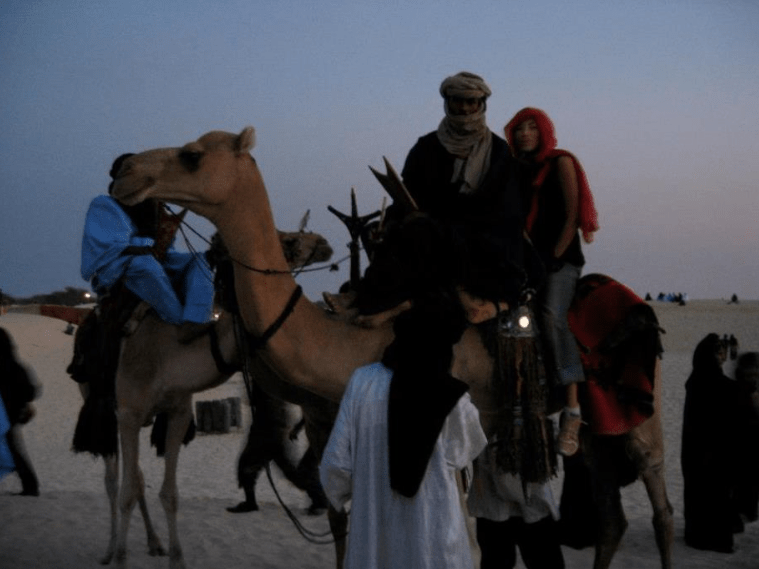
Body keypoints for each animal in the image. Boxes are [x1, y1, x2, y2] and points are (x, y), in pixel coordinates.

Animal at [110, 126, 672, 569]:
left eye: (191, 154)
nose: (122, 169)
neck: (358, 338)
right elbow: (342, 533)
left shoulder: (462, 428)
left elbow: (466, 541)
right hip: (600, 430)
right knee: (611, 518)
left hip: (637, 409)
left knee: (658, 497)